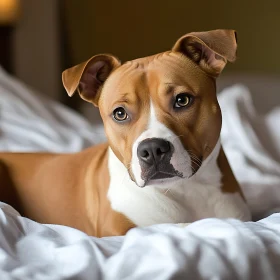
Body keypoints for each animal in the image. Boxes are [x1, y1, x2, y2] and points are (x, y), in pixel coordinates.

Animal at [0, 29, 252, 236]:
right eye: (120, 113)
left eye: (182, 100)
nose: (152, 149)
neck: (187, 190)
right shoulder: (118, 231)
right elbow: (169, 228)